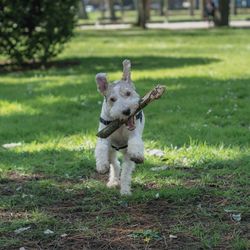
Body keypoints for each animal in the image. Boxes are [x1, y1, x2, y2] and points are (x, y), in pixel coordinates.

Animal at [94, 59, 145, 195]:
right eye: (112, 99)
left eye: (128, 93)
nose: (126, 111)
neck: (120, 126)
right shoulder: (104, 135)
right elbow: (101, 147)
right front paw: (101, 166)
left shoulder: (134, 135)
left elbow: (135, 143)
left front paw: (137, 155)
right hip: (111, 150)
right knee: (115, 164)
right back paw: (113, 182)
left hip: (125, 152)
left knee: (125, 169)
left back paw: (124, 189)